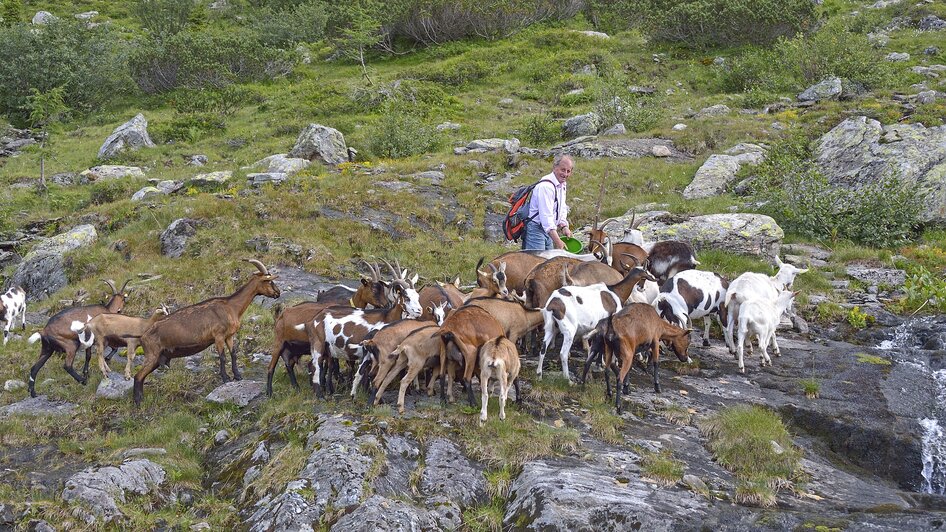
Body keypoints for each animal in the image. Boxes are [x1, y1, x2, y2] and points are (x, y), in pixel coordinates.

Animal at [134, 260, 280, 408]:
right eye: (269, 281)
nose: (278, 293)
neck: (232, 306)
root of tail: (143, 337)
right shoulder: (218, 336)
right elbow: (222, 357)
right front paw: (226, 378)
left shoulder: (229, 336)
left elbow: (233, 354)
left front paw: (238, 376)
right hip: (152, 355)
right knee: (138, 376)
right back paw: (138, 401)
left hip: (159, 358)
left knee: (141, 376)